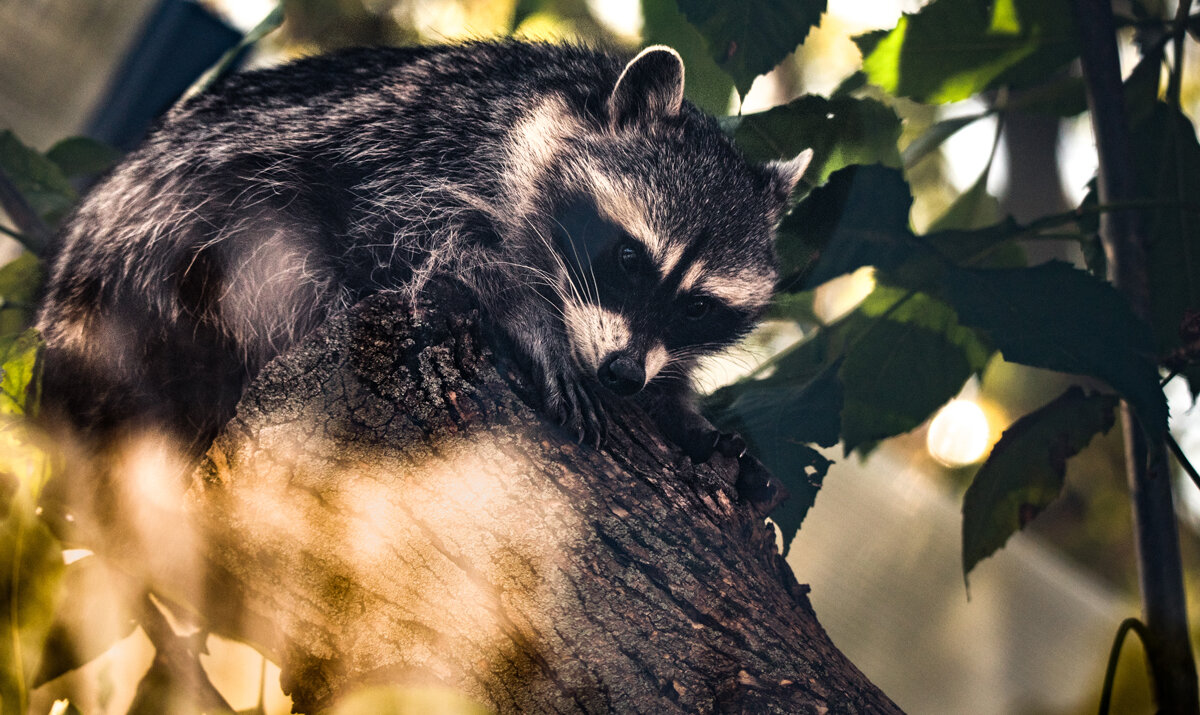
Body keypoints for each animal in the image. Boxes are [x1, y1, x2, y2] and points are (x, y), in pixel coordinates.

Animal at [37, 43, 811, 470]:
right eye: (629, 257)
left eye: (699, 304)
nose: (622, 374)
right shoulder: (421, 154)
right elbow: (422, 250)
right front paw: (528, 314)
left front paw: (684, 412)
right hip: (164, 239)